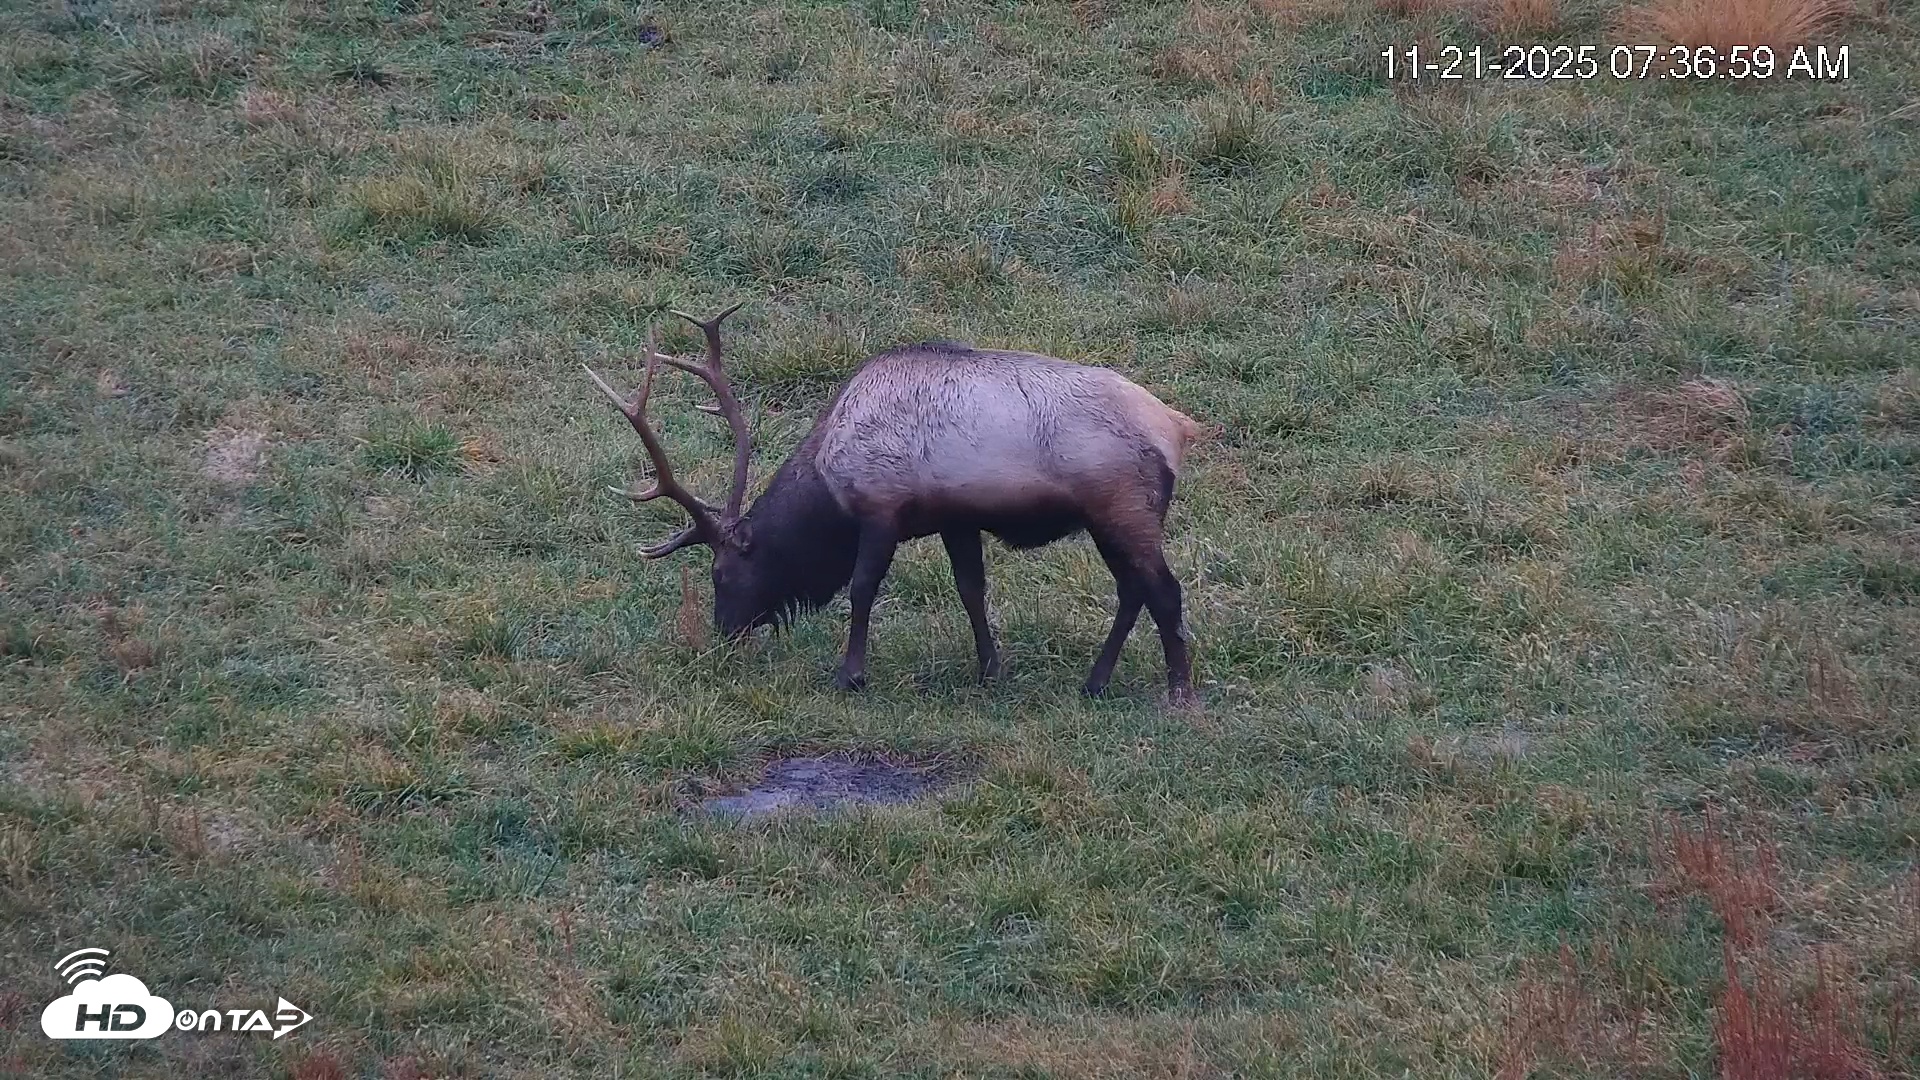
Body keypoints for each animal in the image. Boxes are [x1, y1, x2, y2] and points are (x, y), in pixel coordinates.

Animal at [583, 303, 1203, 706]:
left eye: (721, 572)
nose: (723, 635)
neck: (828, 486)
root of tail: (1178, 427)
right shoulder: (956, 519)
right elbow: (971, 591)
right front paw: (990, 670)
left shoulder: (881, 510)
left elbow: (861, 588)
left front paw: (850, 674)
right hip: (1109, 520)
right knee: (1133, 591)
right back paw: (1096, 682)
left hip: (1121, 508)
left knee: (1163, 590)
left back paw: (1178, 690)